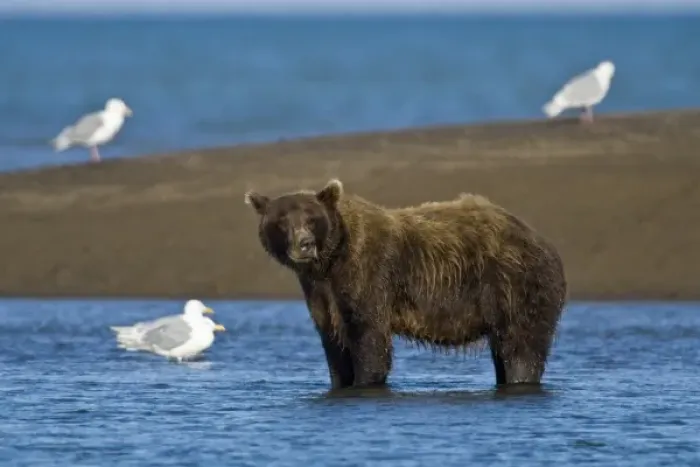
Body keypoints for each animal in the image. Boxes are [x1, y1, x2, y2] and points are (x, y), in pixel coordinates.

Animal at [243, 178, 568, 390]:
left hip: (516, 285)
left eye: (312, 219)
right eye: (281, 221)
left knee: (521, 349)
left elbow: (369, 340)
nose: (305, 245)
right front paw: (341, 380)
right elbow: (335, 346)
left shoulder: (369, 277)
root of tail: (545, 242)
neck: (330, 263)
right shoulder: (322, 294)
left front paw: (365, 381)